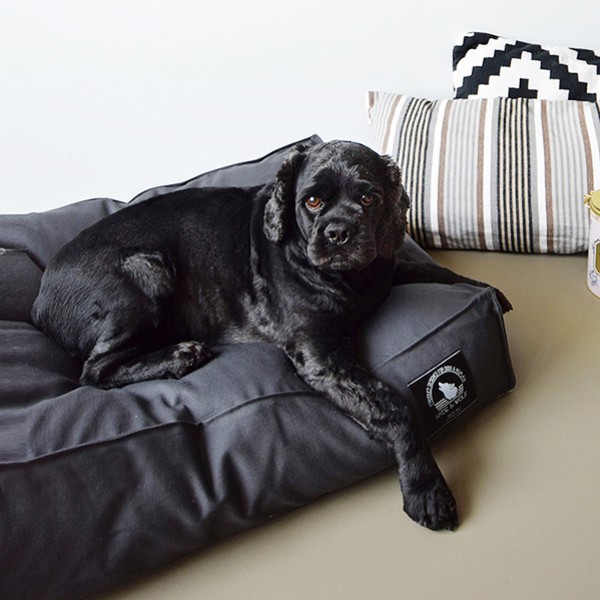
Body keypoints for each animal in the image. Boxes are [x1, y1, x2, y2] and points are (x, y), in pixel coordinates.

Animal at [32, 141, 511, 531]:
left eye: (368, 197)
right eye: (312, 201)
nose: (339, 233)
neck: (352, 280)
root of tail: (38, 301)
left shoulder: (386, 268)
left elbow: (434, 271)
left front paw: (488, 291)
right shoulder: (321, 355)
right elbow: (394, 408)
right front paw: (426, 489)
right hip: (146, 271)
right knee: (94, 372)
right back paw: (180, 355)